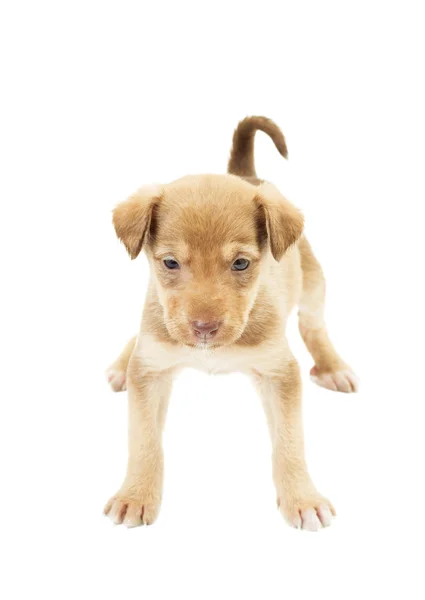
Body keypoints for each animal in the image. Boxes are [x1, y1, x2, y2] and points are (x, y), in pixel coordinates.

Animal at [104, 116, 356, 528]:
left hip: (313, 283)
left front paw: (302, 498)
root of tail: (245, 176)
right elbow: (144, 442)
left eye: (240, 263)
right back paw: (120, 365)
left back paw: (333, 366)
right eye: (170, 262)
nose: (204, 329)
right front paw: (135, 495)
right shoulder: (151, 371)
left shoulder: (280, 372)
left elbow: (290, 442)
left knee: (313, 325)